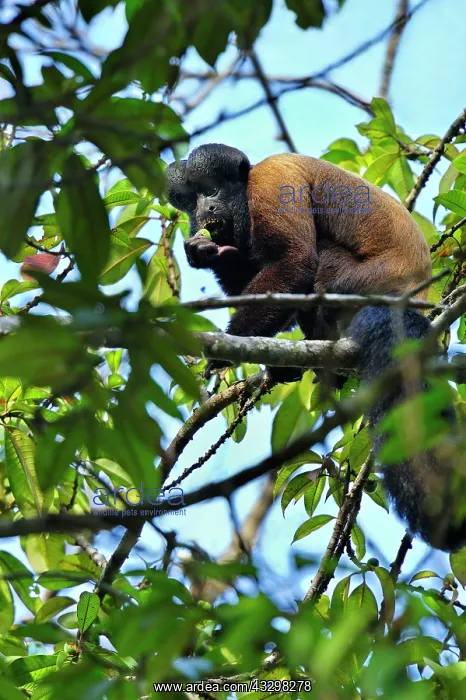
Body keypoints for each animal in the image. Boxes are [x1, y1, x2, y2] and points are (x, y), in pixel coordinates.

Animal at [166, 143, 462, 551]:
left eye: (209, 191)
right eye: (189, 202)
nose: (203, 211)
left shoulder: (271, 182)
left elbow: (296, 262)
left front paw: (224, 351)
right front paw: (202, 252)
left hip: (359, 282)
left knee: (319, 261)